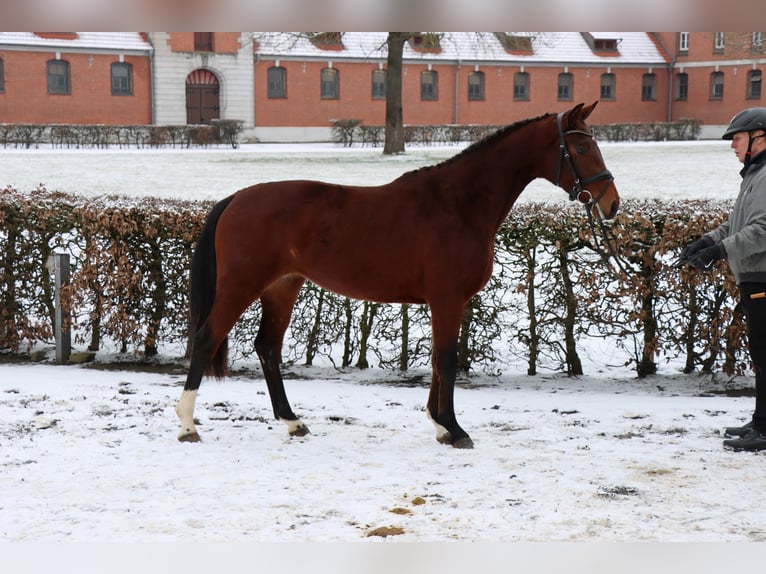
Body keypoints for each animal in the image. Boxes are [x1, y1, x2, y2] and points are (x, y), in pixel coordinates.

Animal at [177, 101, 620, 450]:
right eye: (582, 147)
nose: (611, 204)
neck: (458, 204)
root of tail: (236, 198)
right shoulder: (447, 299)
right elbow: (446, 358)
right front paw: (454, 429)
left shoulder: (446, 302)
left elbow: (439, 359)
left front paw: (440, 426)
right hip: (241, 285)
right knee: (206, 338)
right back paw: (186, 425)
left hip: (281, 287)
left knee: (267, 347)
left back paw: (293, 421)